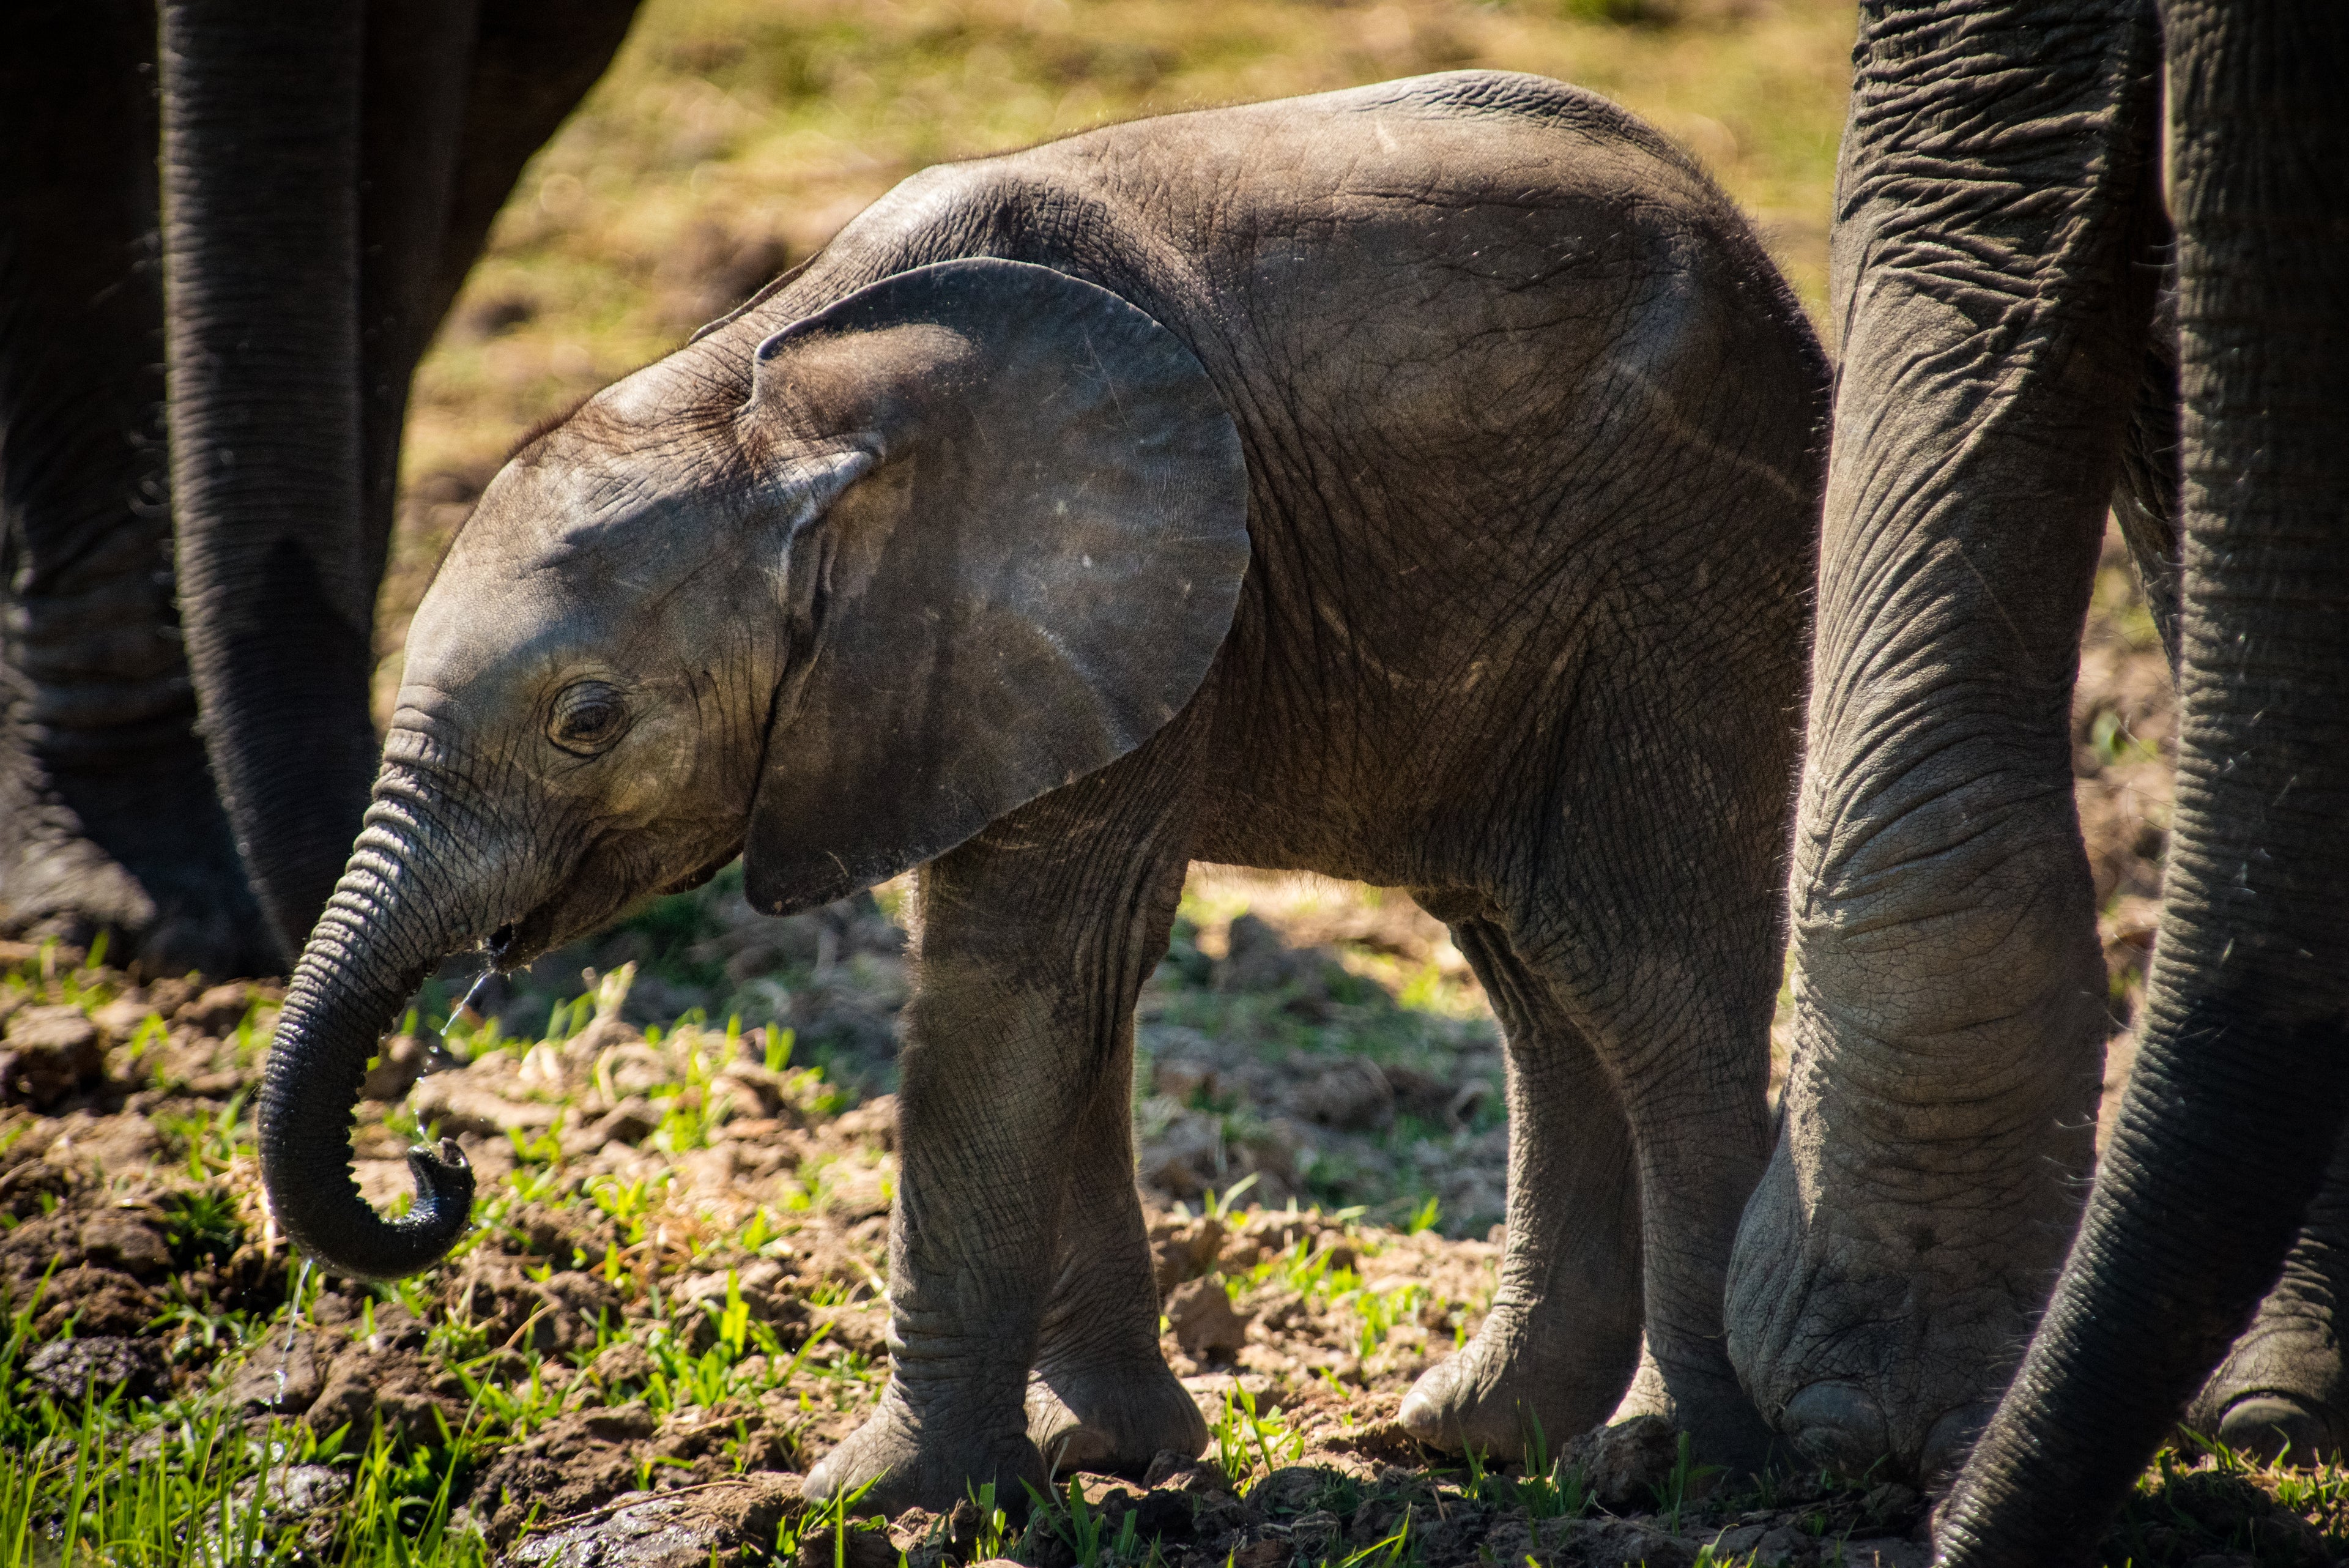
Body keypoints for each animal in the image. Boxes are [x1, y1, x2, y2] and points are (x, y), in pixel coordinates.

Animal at [254, 71, 1830, 1512]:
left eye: (586, 720)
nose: (436, 1159)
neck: (768, 403)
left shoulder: (1101, 589)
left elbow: (1010, 981)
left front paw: (867, 1505)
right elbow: (1067, 997)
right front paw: (1103, 1455)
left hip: (1688, 561)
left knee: (1636, 968)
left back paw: (1677, 1465)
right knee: (1530, 968)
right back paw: (1474, 1436)